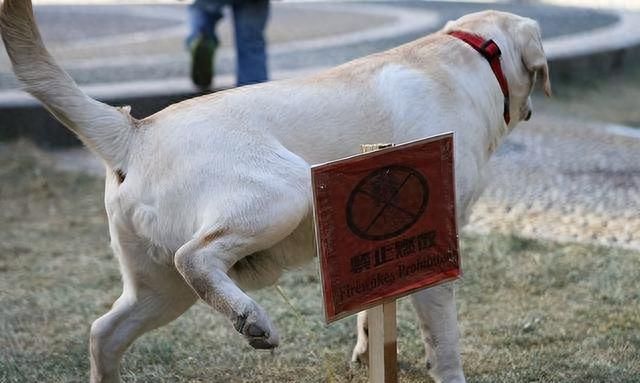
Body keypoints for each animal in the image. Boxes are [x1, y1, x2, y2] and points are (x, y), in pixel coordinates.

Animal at [0, 0, 552, 382]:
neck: (471, 56)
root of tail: (135, 133)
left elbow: (372, 311)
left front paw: (364, 352)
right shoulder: (437, 243)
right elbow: (444, 339)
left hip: (157, 290)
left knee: (104, 332)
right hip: (284, 190)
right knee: (193, 257)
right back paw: (252, 320)